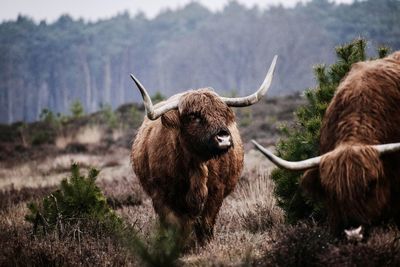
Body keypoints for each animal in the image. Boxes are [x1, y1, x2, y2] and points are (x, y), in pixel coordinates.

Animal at [131, 56, 278, 245]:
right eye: (194, 116)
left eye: (222, 113)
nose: (224, 138)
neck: (195, 166)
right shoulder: (161, 196)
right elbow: (175, 227)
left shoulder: (216, 192)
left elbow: (206, 224)